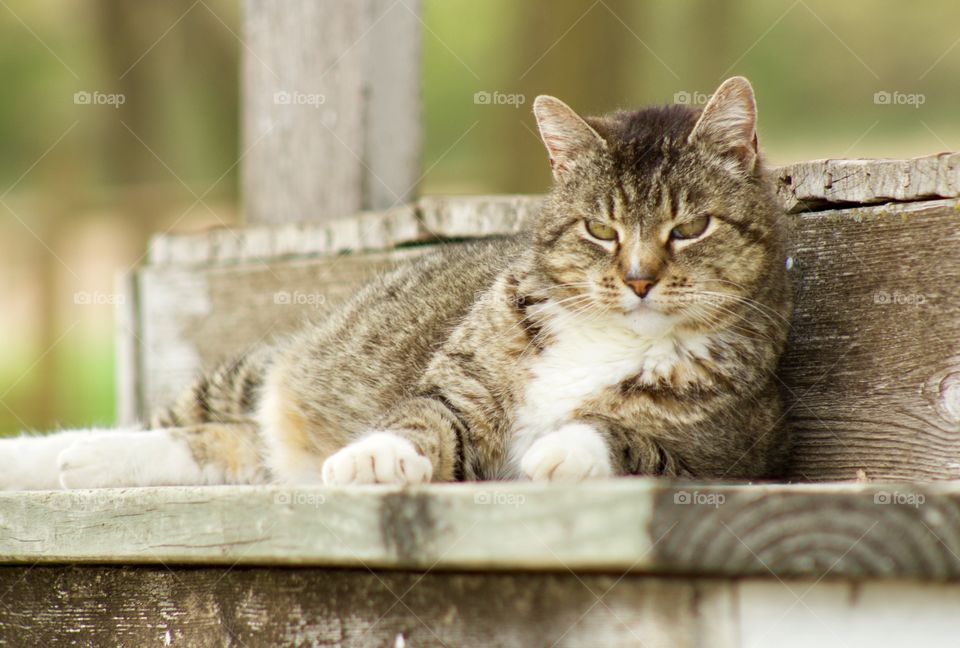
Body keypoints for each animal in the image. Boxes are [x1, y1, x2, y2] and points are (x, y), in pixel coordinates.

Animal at [0, 76, 796, 488]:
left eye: (690, 228)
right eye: (601, 229)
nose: (637, 279)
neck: (609, 336)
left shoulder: (725, 455)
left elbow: (627, 438)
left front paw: (559, 449)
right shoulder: (459, 388)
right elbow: (424, 419)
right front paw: (375, 456)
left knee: (215, 446)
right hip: (262, 370)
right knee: (176, 423)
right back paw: (51, 456)